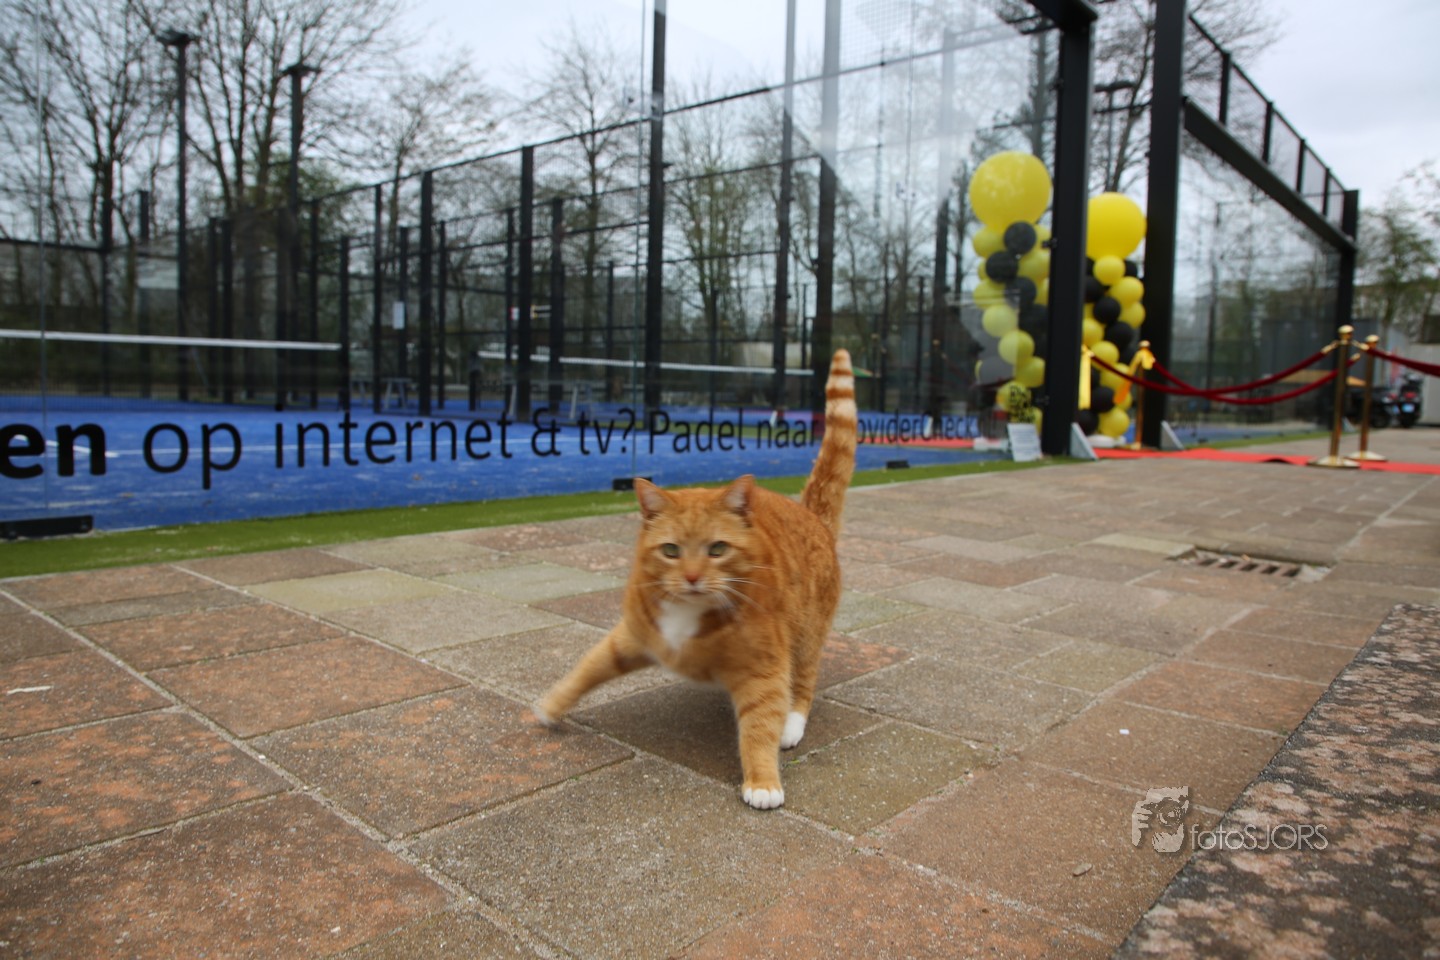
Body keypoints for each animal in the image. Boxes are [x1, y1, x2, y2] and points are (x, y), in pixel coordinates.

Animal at [536, 349, 858, 810]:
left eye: (717, 549)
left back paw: (792, 726)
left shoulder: (764, 670)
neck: (689, 613)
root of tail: (810, 513)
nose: (690, 577)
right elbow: (588, 668)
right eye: (670, 551)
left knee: (803, 682)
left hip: (807, 633)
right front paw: (552, 705)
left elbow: (759, 727)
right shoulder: (631, 637)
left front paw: (763, 782)